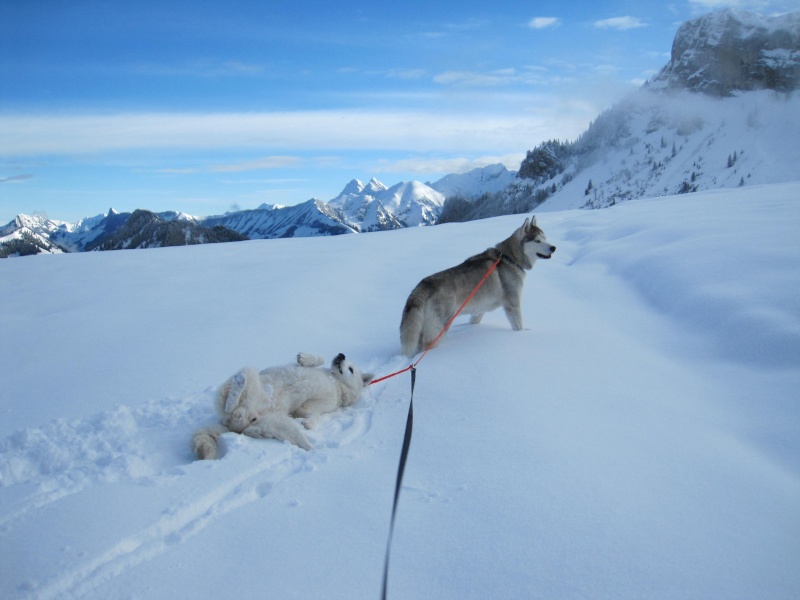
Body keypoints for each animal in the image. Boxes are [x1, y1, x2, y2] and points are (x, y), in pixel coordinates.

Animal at [192, 352, 374, 460]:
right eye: (346, 361)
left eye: (351, 369)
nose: (341, 355)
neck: (337, 383)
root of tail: (229, 426)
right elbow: (319, 359)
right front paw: (306, 358)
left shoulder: (313, 407)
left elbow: (314, 415)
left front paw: (309, 423)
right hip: (251, 374)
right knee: (231, 405)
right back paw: (238, 386)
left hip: (280, 424)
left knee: (235, 413)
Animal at [400, 216, 556, 356]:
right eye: (537, 240)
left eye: (545, 238)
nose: (553, 247)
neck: (510, 258)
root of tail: (425, 284)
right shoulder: (512, 305)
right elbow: (518, 326)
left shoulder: (480, 308)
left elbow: (475, 319)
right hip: (439, 328)